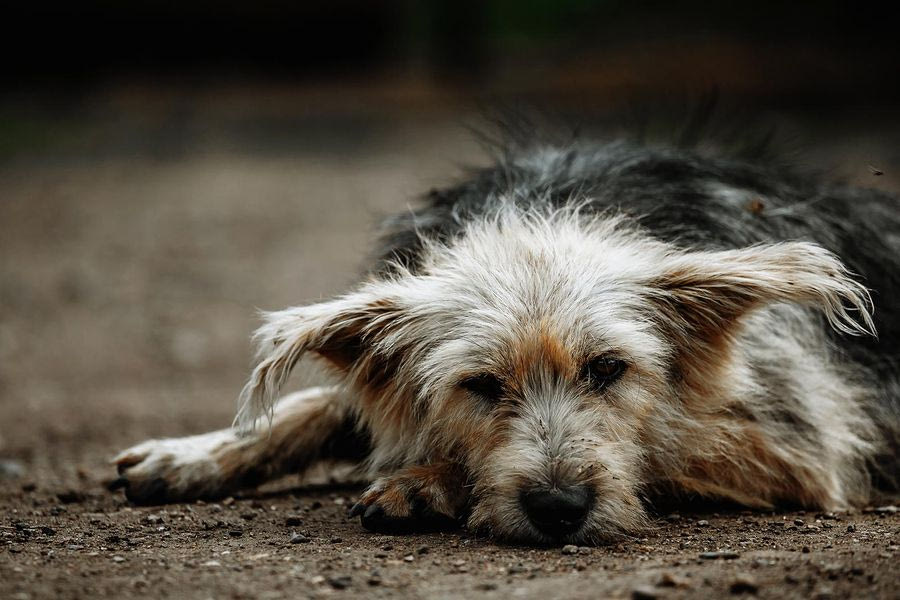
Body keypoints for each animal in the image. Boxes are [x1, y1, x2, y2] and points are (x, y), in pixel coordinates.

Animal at [112, 125, 900, 544]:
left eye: (607, 369)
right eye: (482, 385)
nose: (559, 508)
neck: (544, 217)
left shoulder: (799, 448)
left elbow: (666, 445)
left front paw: (426, 481)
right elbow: (323, 406)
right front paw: (195, 456)